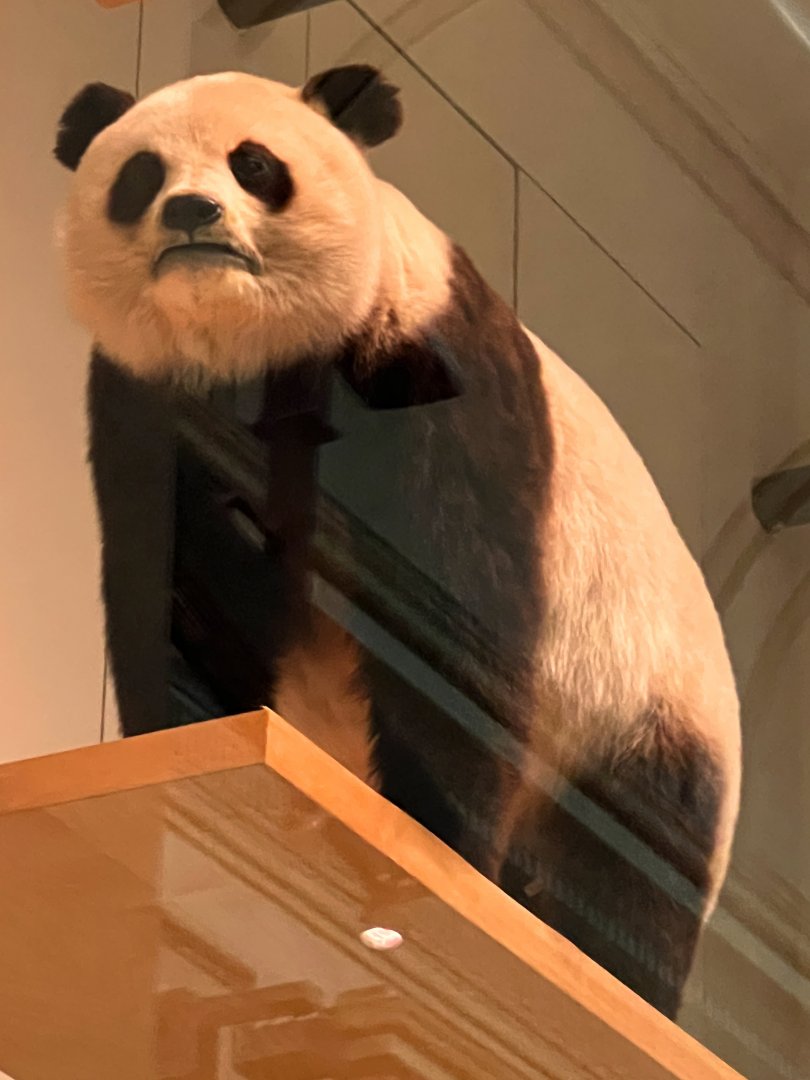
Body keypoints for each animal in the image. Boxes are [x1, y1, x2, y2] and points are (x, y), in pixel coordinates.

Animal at [53, 66, 740, 1019]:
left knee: (628, 867)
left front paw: (437, 856)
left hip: (642, 705)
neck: (249, 347)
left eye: (255, 164)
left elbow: (456, 630)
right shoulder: (146, 402)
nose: (191, 212)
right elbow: (172, 582)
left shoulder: (429, 373)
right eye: (139, 175)